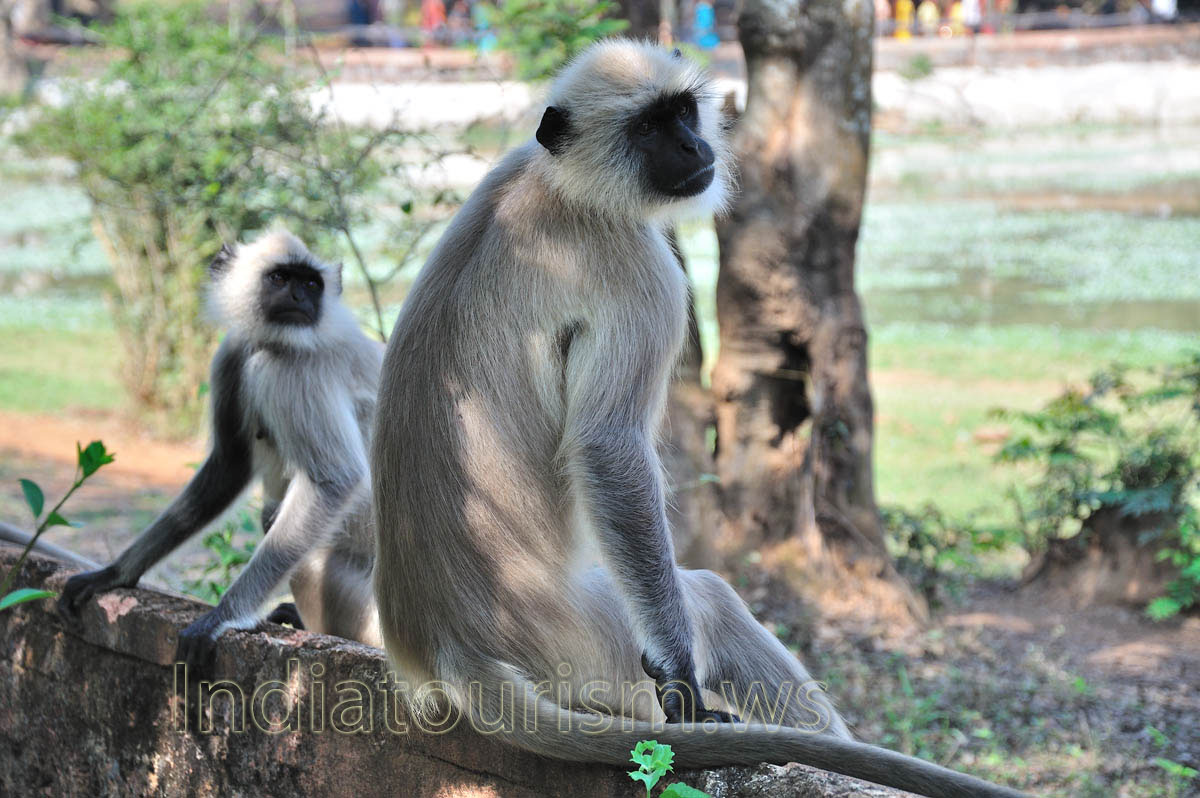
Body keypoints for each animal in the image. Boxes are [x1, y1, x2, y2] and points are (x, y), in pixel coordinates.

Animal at [59, 230, 384, 669]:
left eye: (312, 283)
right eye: (281, 278)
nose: (300, 298)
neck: (273, 341)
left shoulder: (291, 368)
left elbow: (336, 481)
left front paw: (224, 616)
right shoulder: (232, 351)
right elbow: (228, 464)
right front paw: (115, 572)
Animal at [370, 41, 1024, 798]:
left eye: (681, 113)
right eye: (650, 129)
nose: (691, 144)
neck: (564, 186)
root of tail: (451, 650)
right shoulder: (642, 269)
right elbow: (609, 446)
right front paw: (681, 673)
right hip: (582, 643)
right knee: (709, 597)